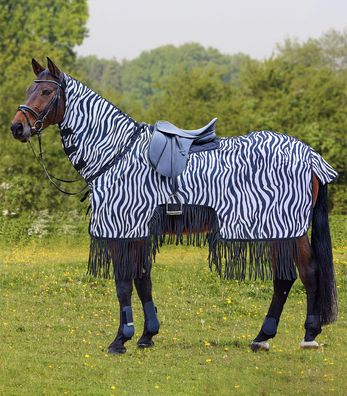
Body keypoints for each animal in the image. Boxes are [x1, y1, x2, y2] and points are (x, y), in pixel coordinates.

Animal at [10, 58, 338, 352]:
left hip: (286, 229)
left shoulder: (122, 228)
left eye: (46, 92)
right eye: (28, 89)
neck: (116, 154)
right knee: (290, 277)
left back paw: (304, 335)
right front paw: (147, 336)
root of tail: (310, 155)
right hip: (279, 230)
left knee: (304, 273)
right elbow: (143, 280)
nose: (17, 128)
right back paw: (266, 337)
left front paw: (120, 340)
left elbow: (123, 283)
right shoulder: (137, 231)